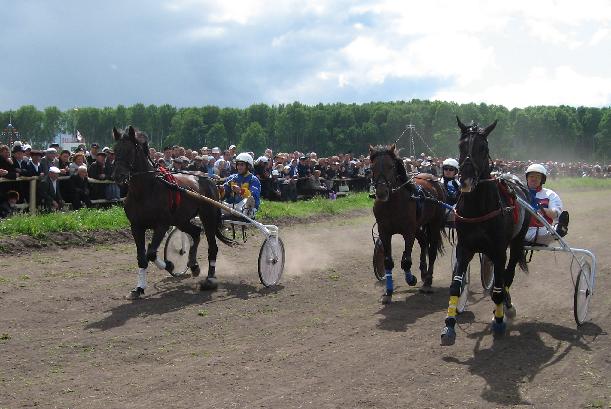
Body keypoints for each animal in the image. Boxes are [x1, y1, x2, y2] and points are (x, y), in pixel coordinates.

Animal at [111, 124, 233, 296]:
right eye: (115, 150)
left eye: (129, 150)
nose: (118, 175)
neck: (145, 190)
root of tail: (209, 179)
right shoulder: (136, 226)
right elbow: (142, 258)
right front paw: (139, 288)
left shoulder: (162, 224)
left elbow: (151, 253)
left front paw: (170, 265)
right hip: (181, 219)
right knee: (196, 232)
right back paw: (194, 265)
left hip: (208, 216)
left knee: (212, 246)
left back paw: (210, 278)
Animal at [370, 144, 448, 302]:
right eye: (372, 167)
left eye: (391, 166)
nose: (381, 192)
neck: (392, 204)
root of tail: (434, 179)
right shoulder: (384, 231)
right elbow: (388, 261)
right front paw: (388, 292)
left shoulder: (408, 232)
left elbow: (406, 261)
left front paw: (411, 279)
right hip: (418, 226)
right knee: (424, 241)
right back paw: (424, 273)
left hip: (434, 223)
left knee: (432, 249)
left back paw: (428, 282)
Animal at [440, 117, 532, 344]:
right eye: (461, 145)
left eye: (483, 147)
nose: (465, 180)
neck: (478, 207)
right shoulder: (465, 248)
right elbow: (455, 285)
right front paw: (449, 325)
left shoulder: (499, 250)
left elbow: (498, 287)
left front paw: (498, 321)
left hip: (516, 242)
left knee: (508, 274)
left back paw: (507, 307)